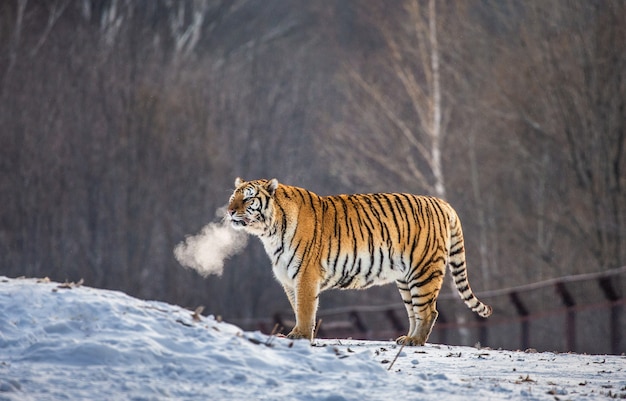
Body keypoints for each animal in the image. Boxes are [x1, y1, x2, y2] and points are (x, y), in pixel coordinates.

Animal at [227, 177, 490, 346]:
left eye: (248, 199)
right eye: (233, 197)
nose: (229, 211)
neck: (269, 232)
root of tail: (441, 203)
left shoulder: (305, 275)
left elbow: (305, 309)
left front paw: (300, 336)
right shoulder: (289, 279)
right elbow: (296, 308)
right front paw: (299, 334)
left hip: (423, 271)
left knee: (429, 311)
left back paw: (416, 341)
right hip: (406, 279)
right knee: (414, 311)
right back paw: (406, 339)